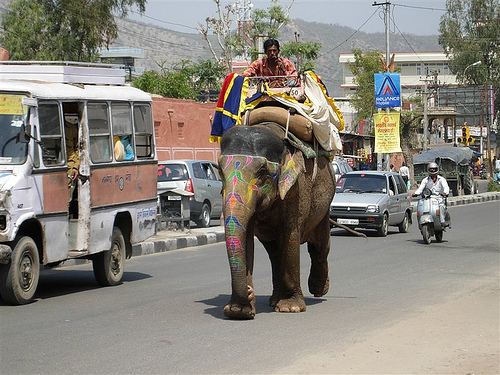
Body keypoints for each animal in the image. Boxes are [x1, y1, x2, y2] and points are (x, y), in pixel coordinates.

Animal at [220, 123, 334, 320]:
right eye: (219, 171)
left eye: (262, 172)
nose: (249, 290)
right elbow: (247, 237)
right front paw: (238, 311)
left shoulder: (297, 188)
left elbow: (291, 235)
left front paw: (290, 308)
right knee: (274, 252)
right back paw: (274, 300)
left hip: (324, 207)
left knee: (319, 246)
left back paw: (318, 290)